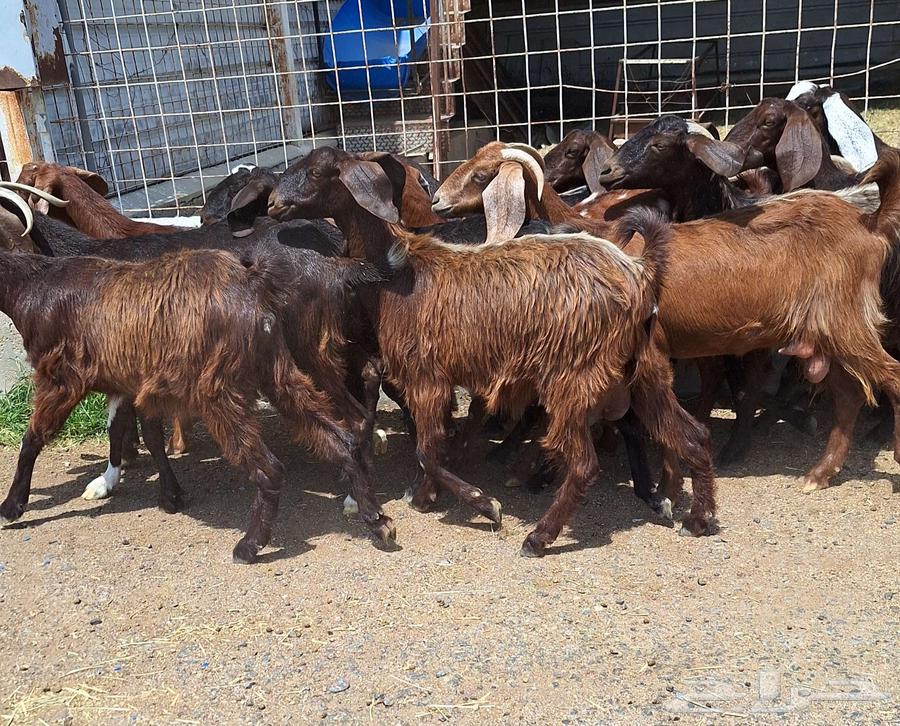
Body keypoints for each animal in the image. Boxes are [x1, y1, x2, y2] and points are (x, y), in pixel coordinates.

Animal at [0, 242, 394, 563]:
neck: (34, 285)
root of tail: (251, 290)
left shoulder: (61, 378)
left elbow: (33, 439)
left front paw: (11, 507)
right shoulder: (131, 381)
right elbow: (137, 433)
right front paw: (165, 493)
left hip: (222, 388)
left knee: (272, 467)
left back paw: (249, 546)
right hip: (279, 372)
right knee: (341, 434)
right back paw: (376, 520)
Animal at [269, 146, 717, 556]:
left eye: (316, 171)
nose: (273, 204)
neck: (400, 275)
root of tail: (640, 274)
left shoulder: (425, 376)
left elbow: (428, 450)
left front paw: (482, 504)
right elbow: (434, 445)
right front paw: (427, 496)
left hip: (573, 380)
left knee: (584, 464)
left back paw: (539, 536)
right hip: (647, 371)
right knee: (694, 436)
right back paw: (698, 518)